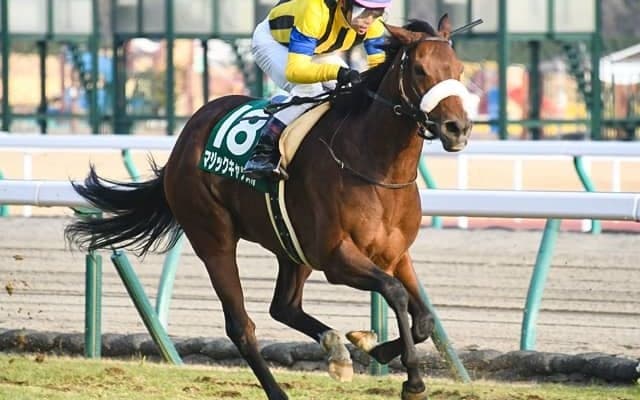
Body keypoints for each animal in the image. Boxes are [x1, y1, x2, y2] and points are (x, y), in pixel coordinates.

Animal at [65, 15, 472, 400]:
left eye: (459, 69)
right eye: (419, 70)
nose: (458, 128)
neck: (376, 168)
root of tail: (186, 136)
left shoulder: (396, 254)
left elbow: (424, 319)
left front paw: (373, 346)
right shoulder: (336, 258)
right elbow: (397, 294)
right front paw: (412, 380)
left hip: (291, 246)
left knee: (284, 306)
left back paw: (336, 349)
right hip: (214, 239)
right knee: (241, 325)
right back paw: (280, 388)